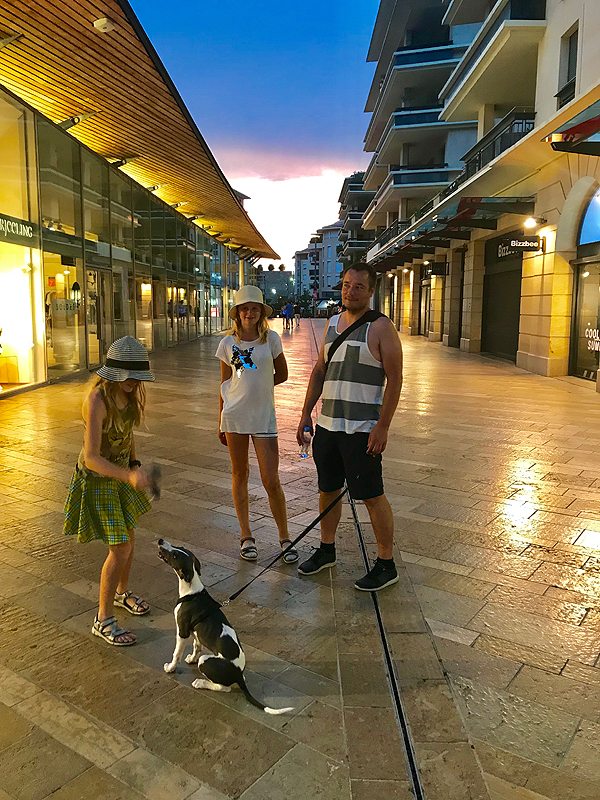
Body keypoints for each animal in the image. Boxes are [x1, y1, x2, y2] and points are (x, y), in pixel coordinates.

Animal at [158, 539, 293, 715]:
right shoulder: (196, 633)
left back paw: (201, 683)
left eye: (175, 555)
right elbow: (196, 645)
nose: (160, 540)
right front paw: (191, 658)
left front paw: (171, 668)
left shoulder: (183, 631)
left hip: (206, 661)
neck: (192, 592)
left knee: (224, 687)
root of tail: (238, 675)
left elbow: (176, 653)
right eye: (179, 547)